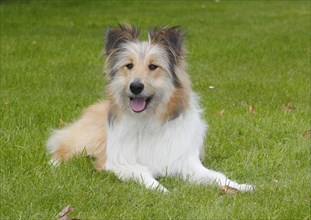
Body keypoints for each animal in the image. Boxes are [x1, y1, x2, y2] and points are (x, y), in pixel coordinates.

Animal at [47, 24, 256, 192]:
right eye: (129, 65)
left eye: (153, 66)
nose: (135, 87)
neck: (148, 120)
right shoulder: (114, 163)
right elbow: (142, 173)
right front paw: (162, 190)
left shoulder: (187, 163)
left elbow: (217, 176)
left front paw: (241, 186)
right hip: (87, 140)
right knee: (61, 148)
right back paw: (55, 165)